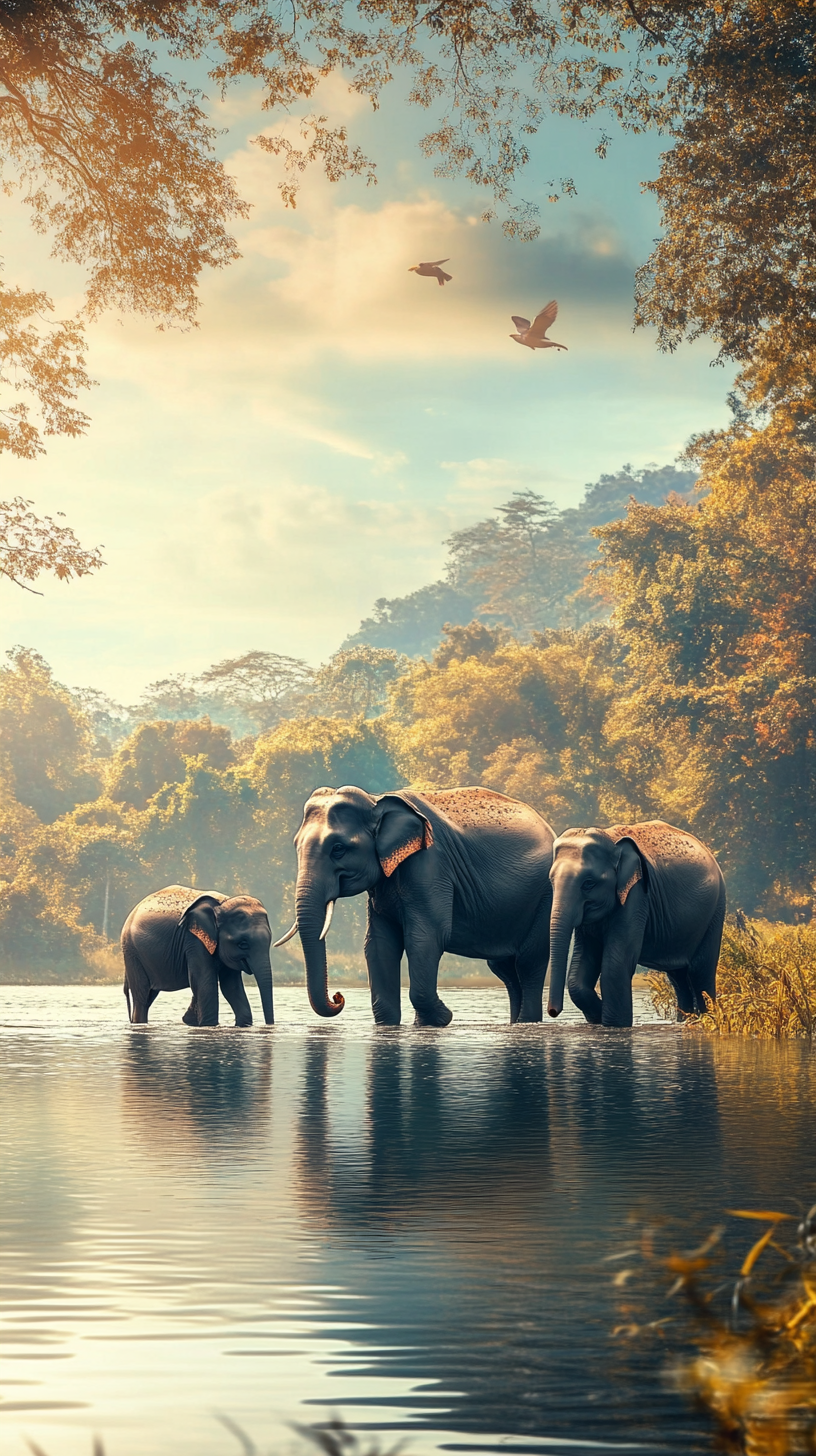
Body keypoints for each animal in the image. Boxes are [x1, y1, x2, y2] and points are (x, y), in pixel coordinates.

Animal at [120, 879, 273, 1030]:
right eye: (243, 944)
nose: (269, 1025)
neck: (223, 904)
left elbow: (231, 987)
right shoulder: (193, 940)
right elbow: (206, 983)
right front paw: (204, 1024)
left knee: (149, 996)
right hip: (132, 953)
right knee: (142, 997)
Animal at [276, 786, 556, 1025]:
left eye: (338, 848)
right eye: (296, 845)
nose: (338, 996)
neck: (376, 800)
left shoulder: (429, 865)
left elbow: (425, 937)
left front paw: (441, 1020)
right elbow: (379, 943)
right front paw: (393, 1025)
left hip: (546, 896)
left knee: (528, 963)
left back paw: (526, 1021)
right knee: (504, 969)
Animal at [544, 821, 722, 1025]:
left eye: (588, 883)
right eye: (551, 881)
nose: (553, 1012)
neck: (611, 840)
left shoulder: (636, 894)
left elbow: (615, 966)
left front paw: (613, 1024)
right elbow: (578, 974)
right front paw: (598, 1017)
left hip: (715, 913)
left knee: (700, 972)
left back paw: (709, 1020)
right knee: (679, 977)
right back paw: (685, 1022)